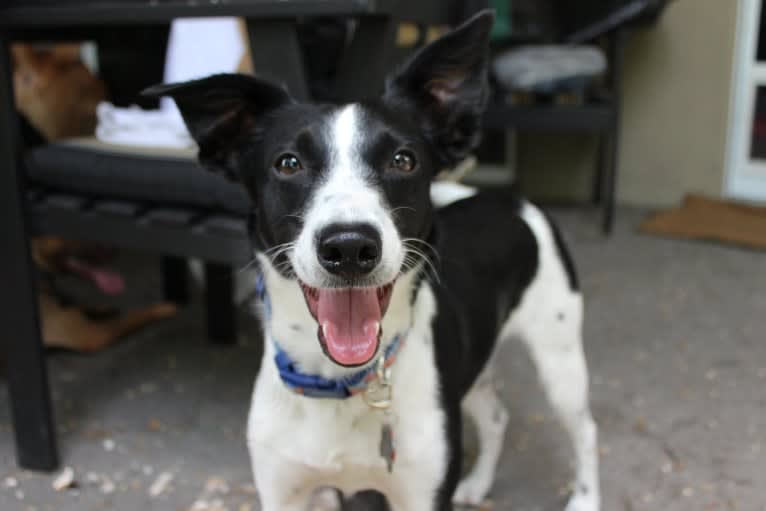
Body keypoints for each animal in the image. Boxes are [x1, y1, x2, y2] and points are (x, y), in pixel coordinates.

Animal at [144, 12, 600, 511]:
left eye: (403, 160)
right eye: (288, 163)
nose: (348, 247)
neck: (338, 384)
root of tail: (512, 200)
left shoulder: (422, 492)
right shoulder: (283, 490)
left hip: (559, 358)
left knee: (585, 429)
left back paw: (585, 497)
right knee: (497, 415)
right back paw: (478, 484)